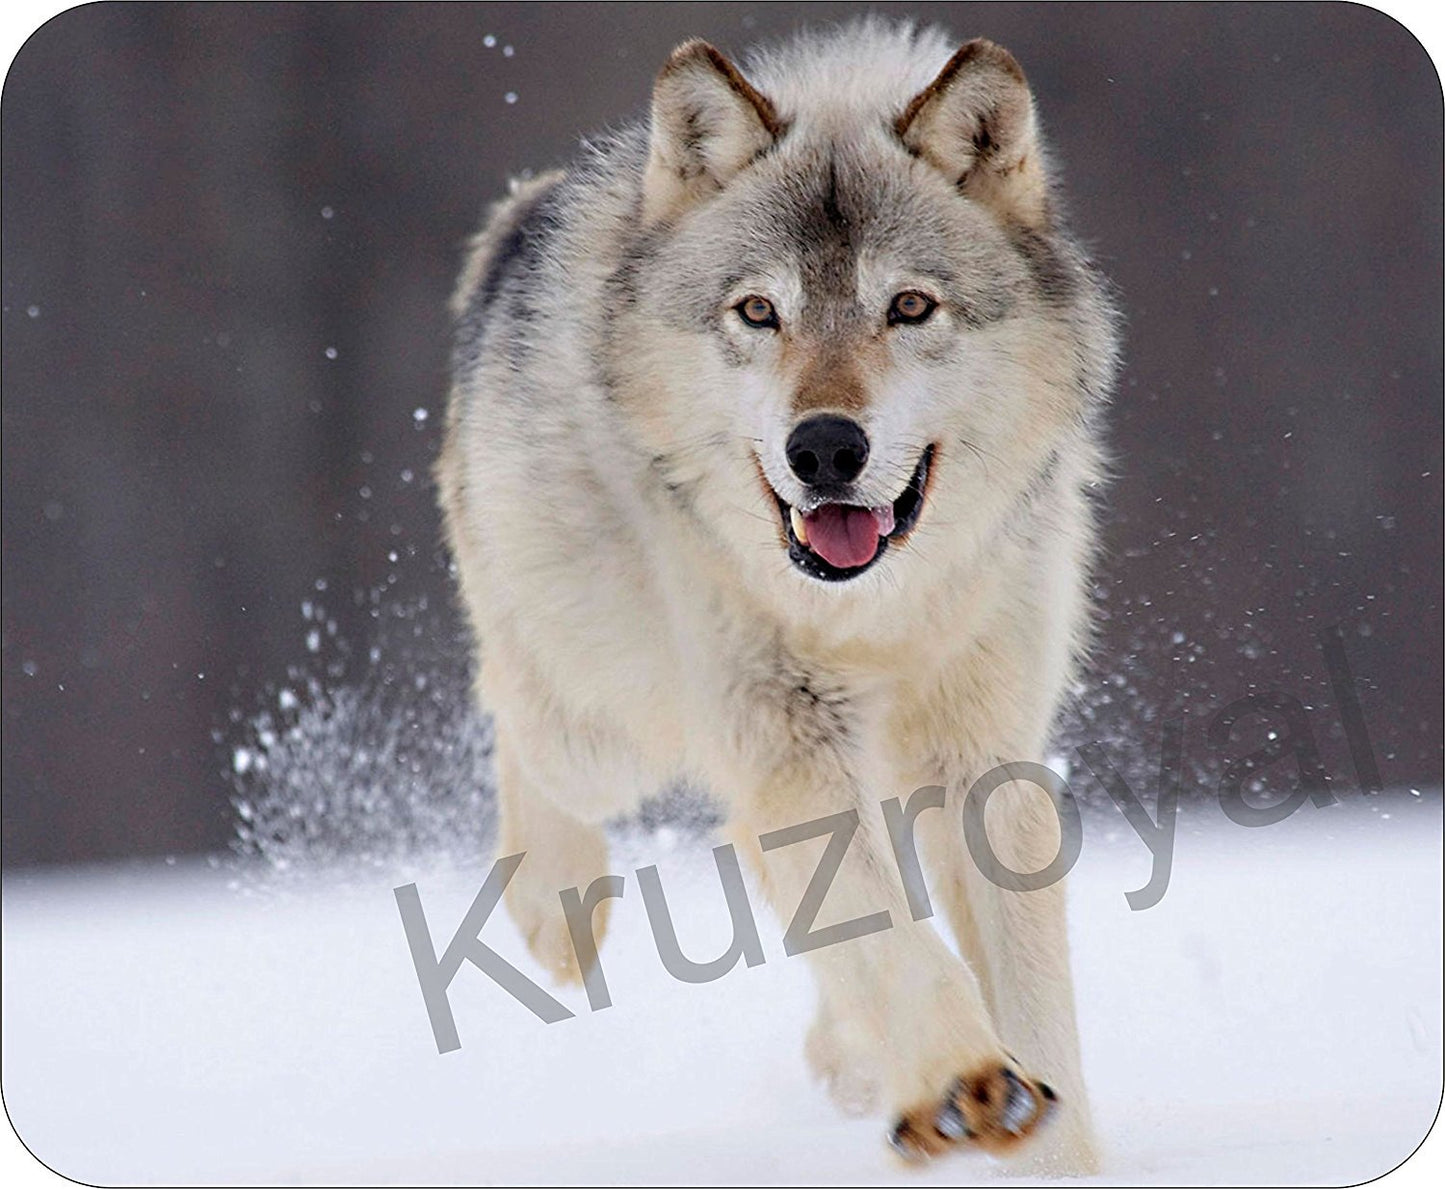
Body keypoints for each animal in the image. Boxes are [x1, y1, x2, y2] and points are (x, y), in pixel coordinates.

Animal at [437, 18, 1118, 1172]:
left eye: (908, 307)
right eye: (758, 311)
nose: (825, 448)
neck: (872, 615)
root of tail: (523, 214)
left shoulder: (983, 756)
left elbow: (1030, 1002)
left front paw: (1047, 1147)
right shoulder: (786, 743)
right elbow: (893, 939)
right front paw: (962, 1081)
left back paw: (849, 1059)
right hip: (607, 725)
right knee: (517, 721)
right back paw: (553, 912)